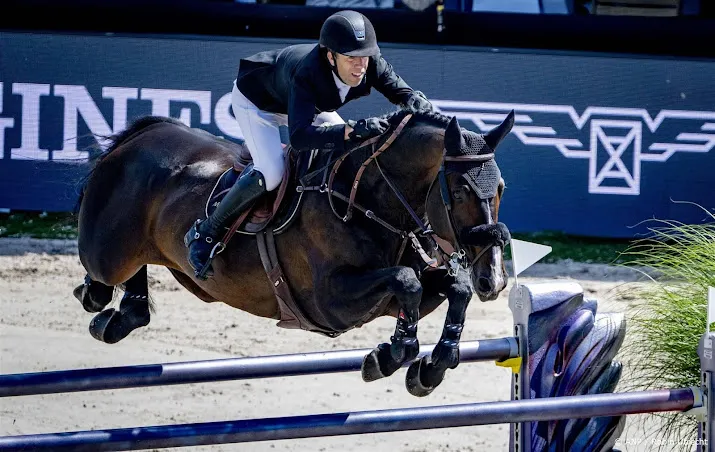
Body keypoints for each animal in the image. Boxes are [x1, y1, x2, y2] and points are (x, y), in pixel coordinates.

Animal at [72, 107, 516, 398]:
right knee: (101, 275)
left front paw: (429, 368)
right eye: (459, 191)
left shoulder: (392, 296)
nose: (493, 280)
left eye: (500, 188)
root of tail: (141, 137)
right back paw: (100, 299)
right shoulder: (331, 303)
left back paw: (124, 314)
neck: (363, 200)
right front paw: (391, 355)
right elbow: (406, 281)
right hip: (108, 251)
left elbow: (453, 290)